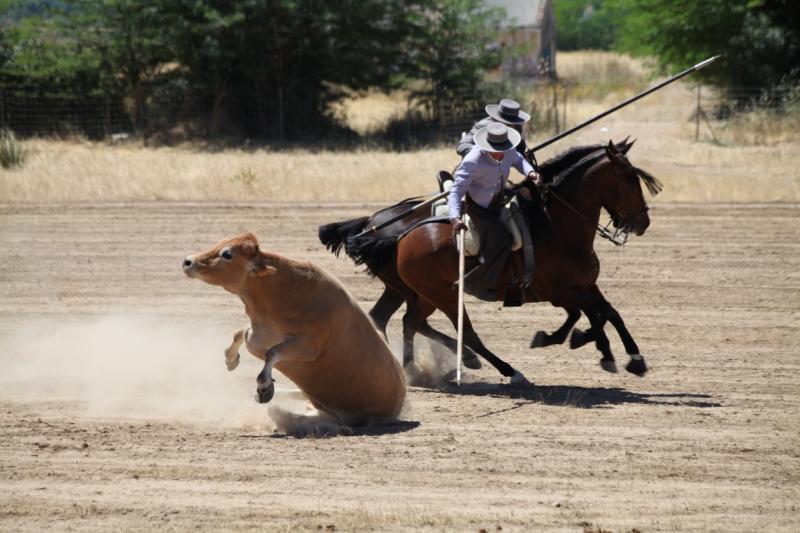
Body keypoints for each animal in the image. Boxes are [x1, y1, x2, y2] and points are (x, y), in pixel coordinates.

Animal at [182, 233, 406, 432]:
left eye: (227, 254)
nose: (187, 261)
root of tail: (399, 402)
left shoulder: (306, 347)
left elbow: (271, 353)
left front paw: (264, 388)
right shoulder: (258, 335)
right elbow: (241, 333)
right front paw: (231, 360)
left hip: (333, 413)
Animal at [318, 141, 664, 382]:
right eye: (629, 178)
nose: (643, 222)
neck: (555, 225)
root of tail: (398, 235)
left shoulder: (585, 286)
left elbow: (609, 313)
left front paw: (630, 358)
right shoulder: (562, 292)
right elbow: (592, 315)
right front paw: (580, 342)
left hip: (416, 293)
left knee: (403, 321)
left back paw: (412, 369)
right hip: (440, 294)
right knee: (461, 331)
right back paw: (505, 369)